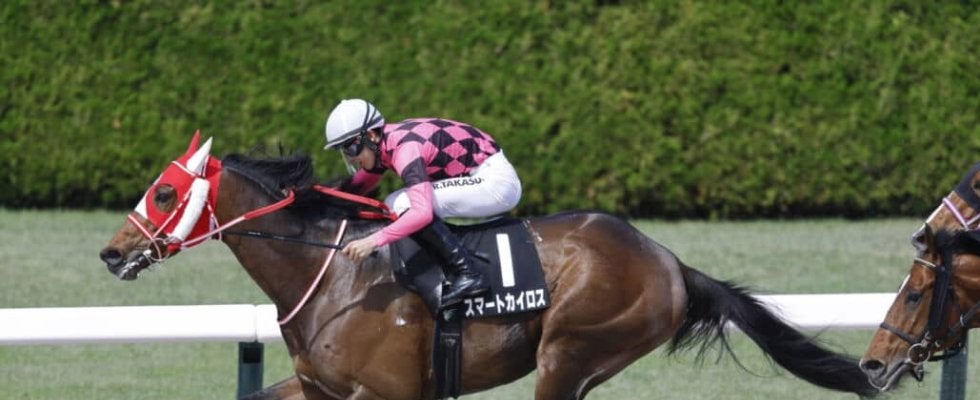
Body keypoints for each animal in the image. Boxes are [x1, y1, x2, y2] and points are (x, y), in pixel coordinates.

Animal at [100, 133, 877, 400]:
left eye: (164, 192)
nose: (111, 252)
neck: (330, 275)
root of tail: (669, 261)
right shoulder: (322, 390)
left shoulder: (389, 395)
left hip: (572, 351)